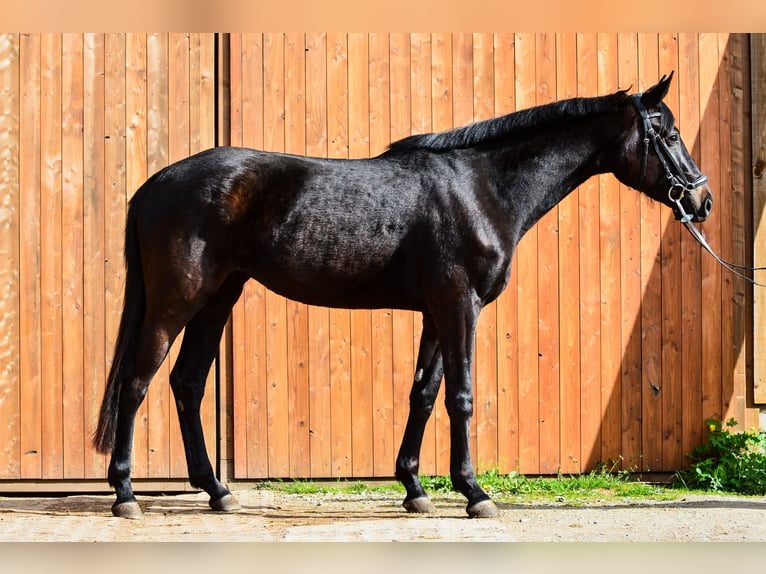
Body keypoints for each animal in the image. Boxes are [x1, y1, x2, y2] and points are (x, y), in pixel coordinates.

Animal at [94, 73, 712, 520]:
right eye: (669, 134)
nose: (701, 202)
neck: (481, 188)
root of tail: (153, 186)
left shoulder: (437, 314)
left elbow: (423, 394)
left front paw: (415, 488)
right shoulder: (460, 306)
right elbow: (461, 396)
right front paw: (474, 493)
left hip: (217, 301)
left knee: (186, 383)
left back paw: (217, 491)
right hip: (176, 301)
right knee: (137, 382)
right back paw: (125, 495)